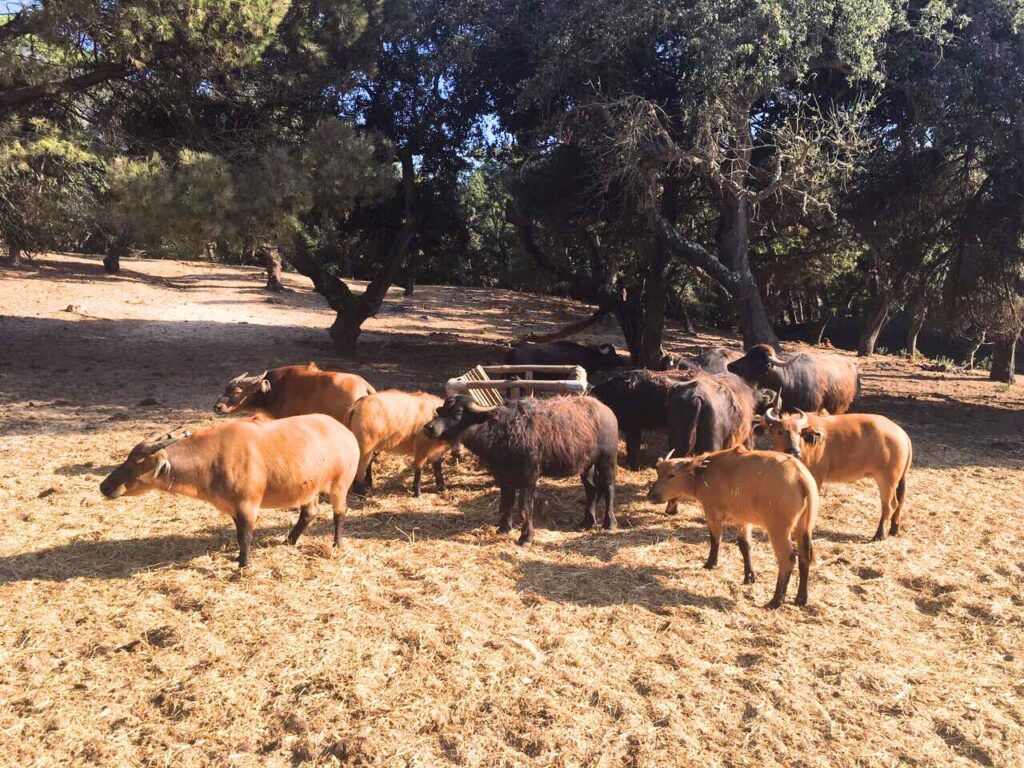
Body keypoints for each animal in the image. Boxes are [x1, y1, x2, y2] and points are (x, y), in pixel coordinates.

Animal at [99, 417, 362, 569]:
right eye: (127, 458)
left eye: (137, 463)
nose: (105, 486)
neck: (212, 459)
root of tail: (345, 432)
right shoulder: (234, 508)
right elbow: (238, 534)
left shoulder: (247, 505)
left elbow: (244, 536)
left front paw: (243, 564)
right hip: (310, 488)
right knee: (310, 512)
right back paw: (289, 540)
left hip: (340, 484)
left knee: (340, 512)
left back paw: (337, 543)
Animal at [651, 448, 819, 610]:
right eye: (658, 472)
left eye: (671, 475)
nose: (651, 495)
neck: (704, 473)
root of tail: (799, 475)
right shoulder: (743, 520)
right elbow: (745, 546)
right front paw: (749, 576)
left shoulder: (712, 513)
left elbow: (715, 539)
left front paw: (711, 563)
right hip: (803, 528)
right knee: (804, 557)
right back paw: (801, 598)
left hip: (778, 529)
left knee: (788, 560)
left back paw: (776, 601)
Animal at [761, 409, 913, 540]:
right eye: (780, 431)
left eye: (799, 432)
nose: (794, 450)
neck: (807, 444)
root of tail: (902, 433)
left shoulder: (816, 478)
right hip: (899, 479)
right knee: (900, 501)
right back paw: (894, 529)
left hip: (887, 479)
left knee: (890, 505)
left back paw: (880, 534)